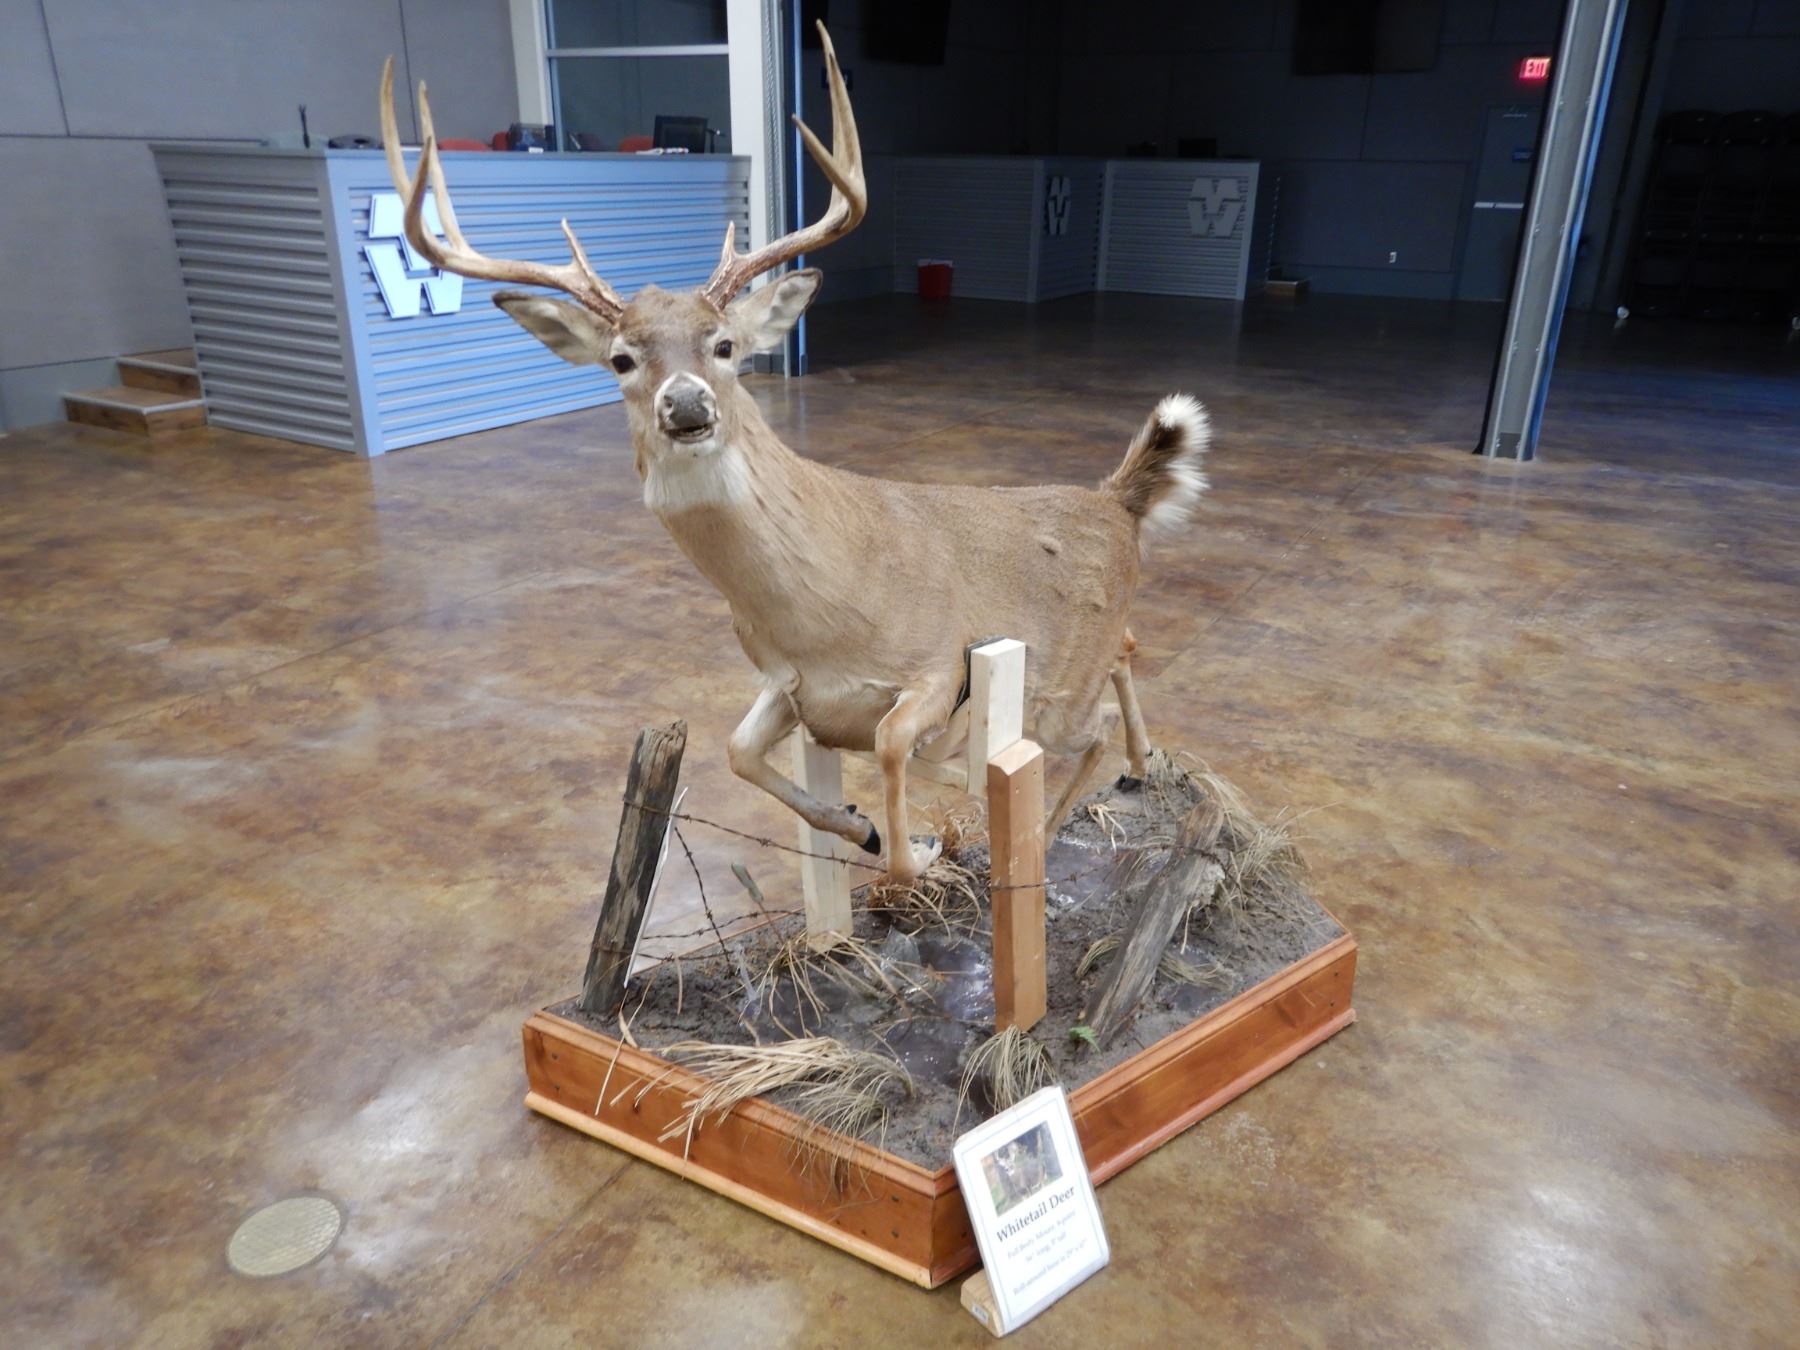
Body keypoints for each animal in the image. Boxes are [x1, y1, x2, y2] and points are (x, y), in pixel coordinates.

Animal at [376, 25, 1209, 883]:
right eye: (621, 359)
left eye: (724, 345)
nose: (686, 405)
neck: (828, 609)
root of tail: (1115, 500)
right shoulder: (787, 685)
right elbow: (739, 751)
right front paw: (858, 826)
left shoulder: (939, 662)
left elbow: (891, 758)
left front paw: (918, 852)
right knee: (1125, 668)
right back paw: (1134, 767)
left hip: (1057, 686)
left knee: (1092, 725)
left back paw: (1048, 827)